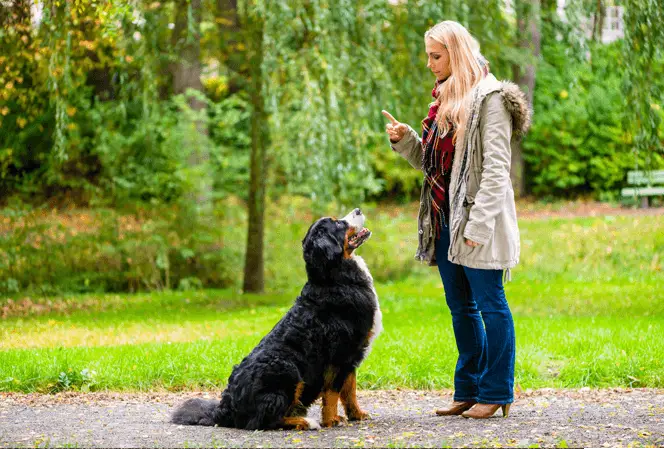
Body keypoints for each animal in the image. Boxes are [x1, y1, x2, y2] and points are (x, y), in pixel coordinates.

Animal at [170, 208, 384, 428]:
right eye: (339, 224)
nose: (358, 210)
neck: (334, 278)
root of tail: (226, 407)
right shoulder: (341, 354)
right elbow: (333, 392)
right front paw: (331, 420)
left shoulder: (352, 355)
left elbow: (349, 391)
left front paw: (357, 414)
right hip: (288, 370)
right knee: (265, 420)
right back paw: (305, 422)